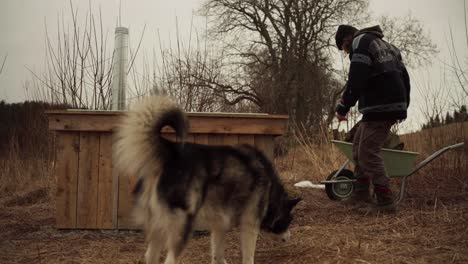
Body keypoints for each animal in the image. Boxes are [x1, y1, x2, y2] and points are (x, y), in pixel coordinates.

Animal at [115, 95, 302, 264]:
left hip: (157, 227)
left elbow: (217, 255)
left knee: (150, 256)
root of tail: (171, 153)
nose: (289, 237)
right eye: (289, 220)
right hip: (181, 225)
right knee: (170, 259)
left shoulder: (219, 225)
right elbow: (248, 257)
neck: (270, 189)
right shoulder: (250, 223)